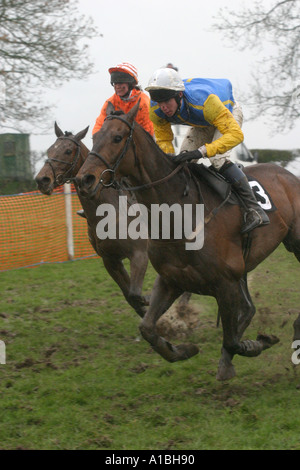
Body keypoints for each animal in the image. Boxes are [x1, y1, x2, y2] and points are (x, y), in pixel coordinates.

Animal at [35, 123, 149, 318]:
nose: (42, 179)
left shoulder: (139, 254)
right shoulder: (110, 260)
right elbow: (131, 297)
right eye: (50, 149)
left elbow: (137, 294)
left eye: (68, 150)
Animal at [75, 103, 300, 382]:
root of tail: (287, 174)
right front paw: (182, 349)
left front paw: (256, 344)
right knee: (247, 309)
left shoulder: (226, 283)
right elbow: (147, 328)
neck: (178, 213)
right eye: (94, 137)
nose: (84, 179)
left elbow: (233, 340)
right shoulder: (171, 280)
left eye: (117, 138)